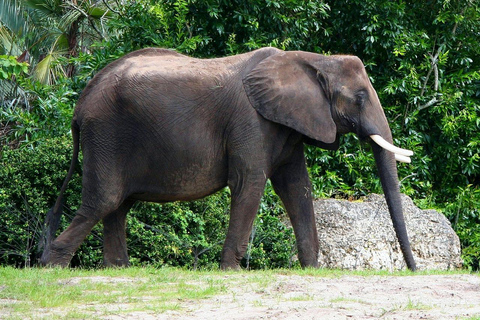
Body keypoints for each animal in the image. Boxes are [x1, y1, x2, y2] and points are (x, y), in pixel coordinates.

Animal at [40, 47, 416, 270]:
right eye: (360, 97)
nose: (414, 269)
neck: (312, 59)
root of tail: (82, 100)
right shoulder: (250, 121)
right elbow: (250, 182)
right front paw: (232, 270)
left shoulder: (286, 126)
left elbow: (297, 187)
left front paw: (312, 269)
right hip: (106, 133)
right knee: (105, 199)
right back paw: (52, 266)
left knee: (118, 205)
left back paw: (120, 269)